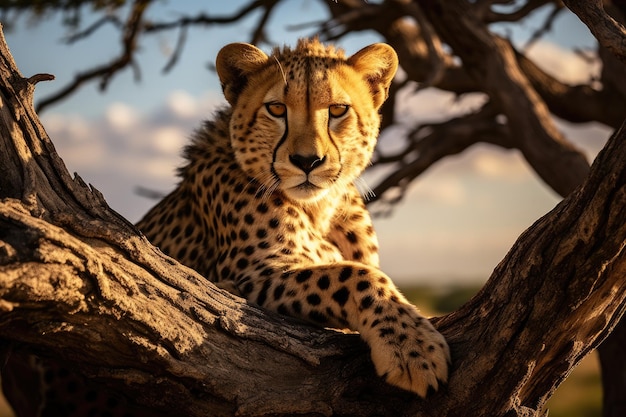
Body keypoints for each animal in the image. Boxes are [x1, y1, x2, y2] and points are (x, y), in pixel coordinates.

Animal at [136, 37, 448, 394]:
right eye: (276, 109)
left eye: (337, 110)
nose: (307, 161)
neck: (320, 210)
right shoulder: (259, 273)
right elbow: (355, 275)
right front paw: (413, 347)